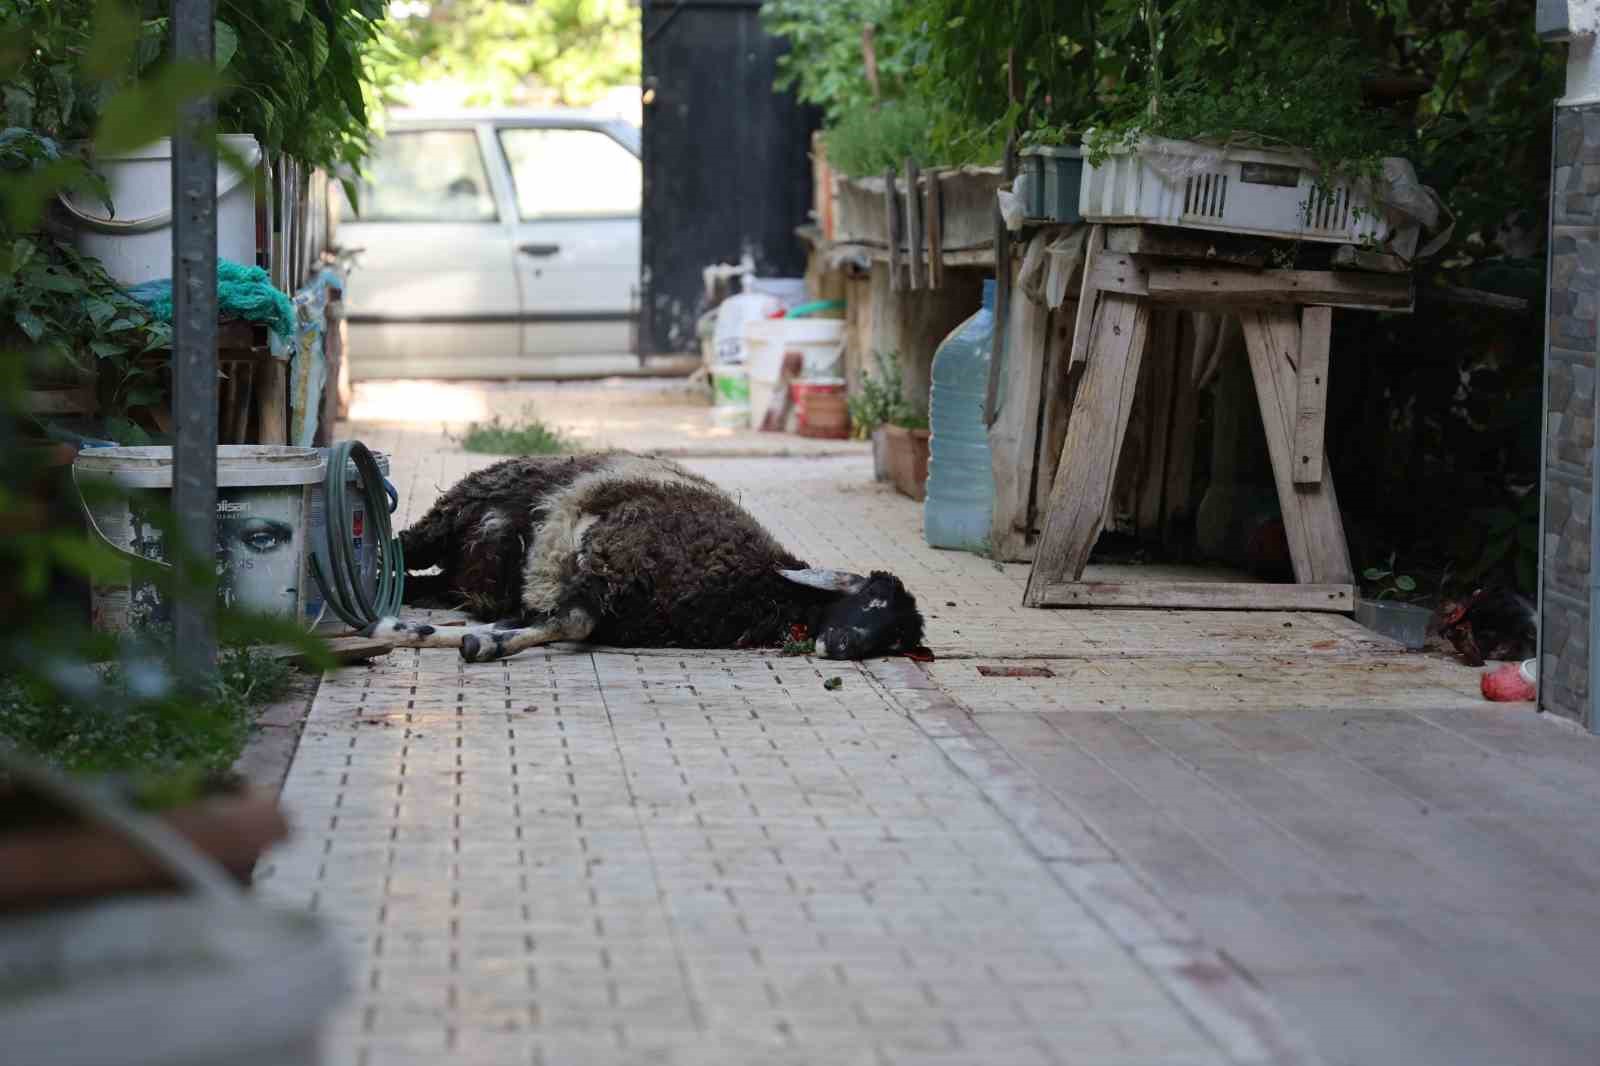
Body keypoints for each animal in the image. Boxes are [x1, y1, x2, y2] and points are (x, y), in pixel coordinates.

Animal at [366, 451, 928, 659]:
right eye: (873, 601)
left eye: (898, 639)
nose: (842, 646)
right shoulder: (611, 551)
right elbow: (572, 621)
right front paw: (478, 644)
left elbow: (559, 621)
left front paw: (475, 637)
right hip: (452, 513)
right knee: (399, 546)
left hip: (466, 577)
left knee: (422, 582)